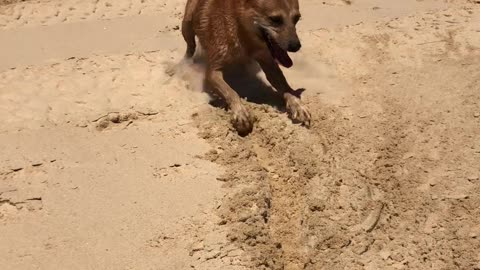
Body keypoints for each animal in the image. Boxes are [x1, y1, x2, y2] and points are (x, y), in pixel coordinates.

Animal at [181, 0, 312, 136]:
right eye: (275, 19)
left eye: (297, 19)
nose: (296, 46)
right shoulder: (213, 71)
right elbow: (231, 91)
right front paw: (240, 113)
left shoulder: (268, 62)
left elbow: (284, 86)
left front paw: (298, 105)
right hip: (187, 26)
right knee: (190, 46)